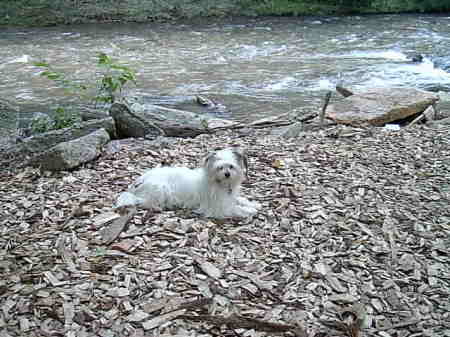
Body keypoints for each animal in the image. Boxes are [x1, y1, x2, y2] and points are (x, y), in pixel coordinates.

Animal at [112, 146, 260, 219]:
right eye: (220, 167)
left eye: (231, 166)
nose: (227, 174)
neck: (220, 183)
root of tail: (140, 180)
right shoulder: (217, 208)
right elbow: (235, 208)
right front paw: (249, 210)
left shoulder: (228, 197)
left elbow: (239, 200)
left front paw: (253, 204)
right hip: (161, 188)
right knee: (142, 202)